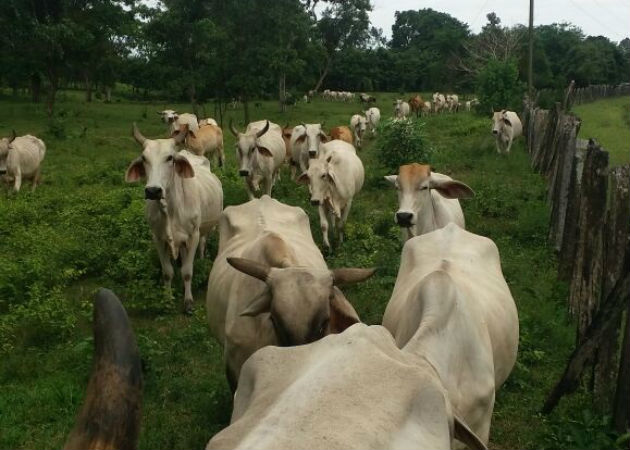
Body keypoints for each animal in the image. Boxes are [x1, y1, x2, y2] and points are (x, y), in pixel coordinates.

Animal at [124, 123, 223, 312]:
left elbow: (187, 272)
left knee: (203, 244)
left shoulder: (193, 236)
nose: (153, 191)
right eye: (144, 158)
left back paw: (201, 259)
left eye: (170, 158)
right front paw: (167, 299)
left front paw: (188, 302)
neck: (170, 210)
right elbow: (167, 272)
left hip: (206, 229)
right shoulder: (158, 238)